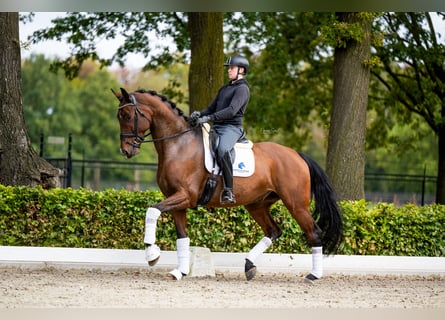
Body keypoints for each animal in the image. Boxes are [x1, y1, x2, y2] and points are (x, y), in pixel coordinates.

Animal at [112, 87, 342, 280]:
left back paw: (313, 275)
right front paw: (180, 272)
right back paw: (249, 266)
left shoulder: (184, 196)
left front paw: (152, 254)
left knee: (314, 233)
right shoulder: (177, 202)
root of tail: (297, 155)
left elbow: (151, 211)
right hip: (257, 204)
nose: (126, 151)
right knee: (273, 231)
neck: (179, 145)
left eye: (127, 116)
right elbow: (182, 237)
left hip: (296, 204)